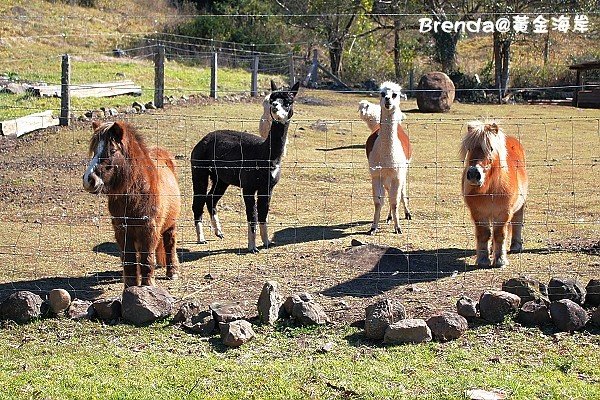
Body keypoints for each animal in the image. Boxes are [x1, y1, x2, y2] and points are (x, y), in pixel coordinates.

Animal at [84, 120, 180, 286]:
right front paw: (130, 286)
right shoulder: (122, 231)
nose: (88, 180)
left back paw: (172, 272)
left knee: (170, 244)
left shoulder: (149, 230)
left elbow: (147, 260)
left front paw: (148, 285)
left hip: (170, 225)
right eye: (95, 150)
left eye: (112, 150)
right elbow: (129, 261)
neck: (136, 195)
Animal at [462, 120, 528, 268]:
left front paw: (500, 261)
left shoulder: (504, 213)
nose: (474, 174)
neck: (489, 189)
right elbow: (484, 234)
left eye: (491, 149)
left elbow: (499, 235)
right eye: (469, 149)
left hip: (519, 206)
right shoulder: (479, 213)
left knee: (517, 222)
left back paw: (516, 246)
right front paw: (483, 260)